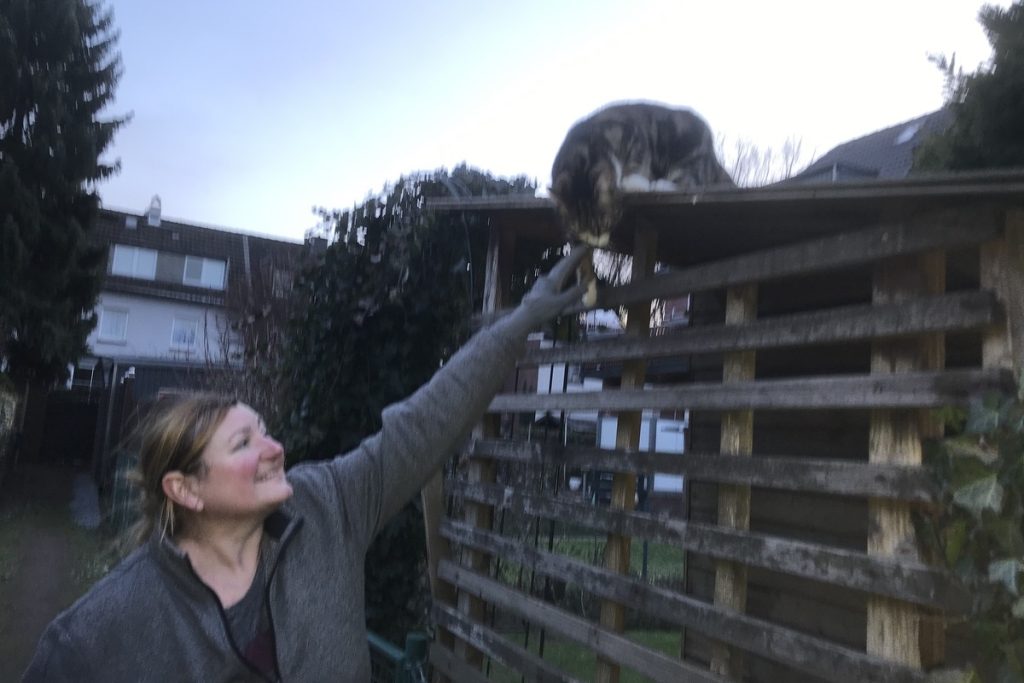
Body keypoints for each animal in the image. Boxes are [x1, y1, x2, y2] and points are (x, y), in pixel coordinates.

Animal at [548, 100, 733, 305]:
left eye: (606, 222)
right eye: (580, 229)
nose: (599, 244)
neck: (582, 152)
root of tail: (713, 158)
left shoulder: (632, 135)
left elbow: (636, 162)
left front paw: (633, 182)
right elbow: (580, 260)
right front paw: (588, 291)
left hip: (687, 150)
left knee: (690, 183)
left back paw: (658, 184)